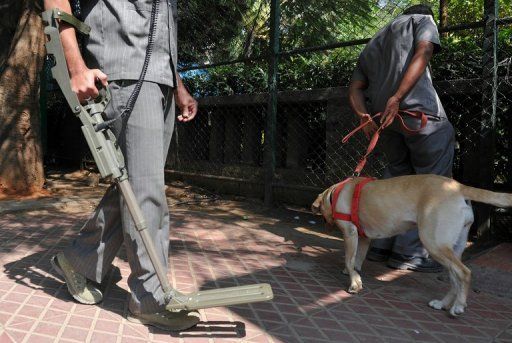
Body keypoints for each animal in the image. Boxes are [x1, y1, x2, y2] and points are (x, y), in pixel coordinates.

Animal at [310, 176, 510, 318]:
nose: (325, 224)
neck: (336, 193)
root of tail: (458, 186)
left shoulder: (350, 233)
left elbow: (349, 259)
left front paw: (353, 283)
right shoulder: (364, 238)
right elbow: (357, 260)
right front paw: (354, 275)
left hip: (434, 244)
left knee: (464, 273)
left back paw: (459, 305)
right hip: (451, 249)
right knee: (455, 279)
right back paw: (443, 304)